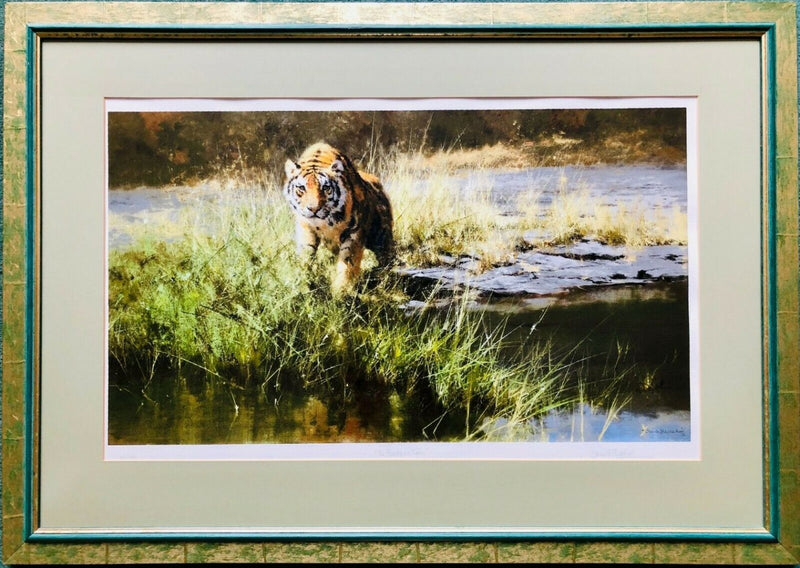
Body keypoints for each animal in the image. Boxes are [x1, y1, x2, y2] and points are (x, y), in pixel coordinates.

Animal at [283, 142, 394, 291]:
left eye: (325, 188)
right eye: (301, 188)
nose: (313, 209)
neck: (324, 222)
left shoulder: (354, 231)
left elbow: (348, 261)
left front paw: (341, 291)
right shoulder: (306, 228)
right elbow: (305, 257)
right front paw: (303, 285)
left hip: (381, 235)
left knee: (387, 257)